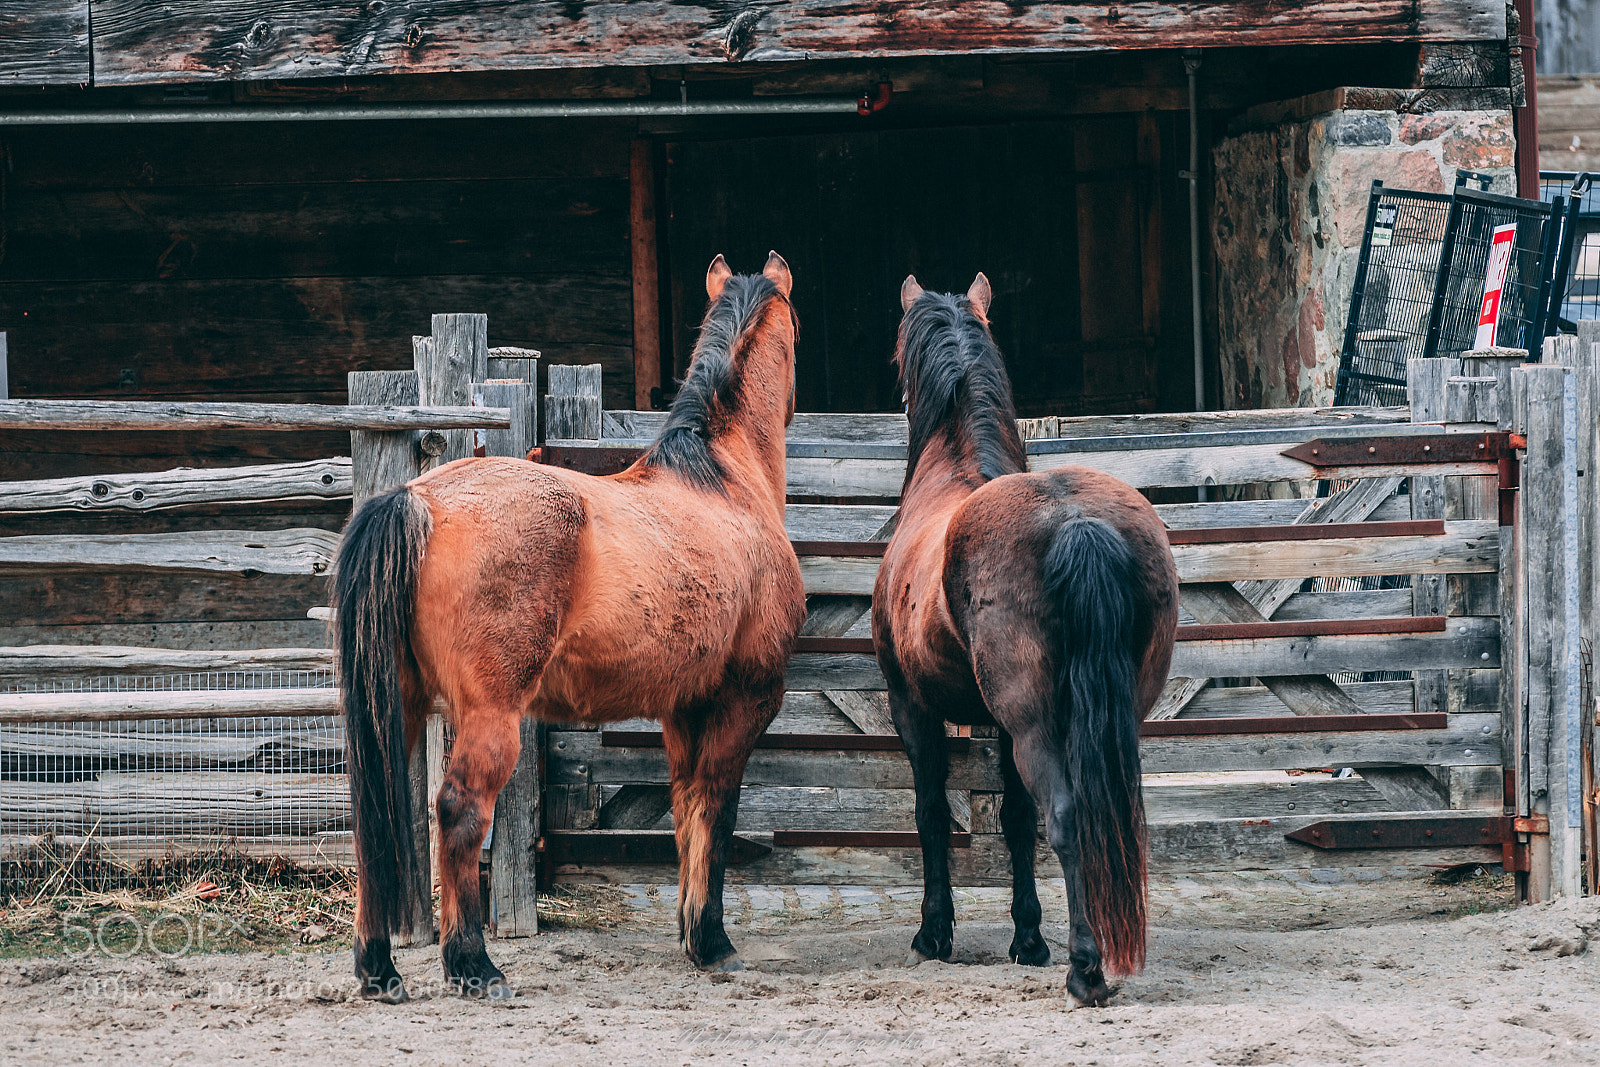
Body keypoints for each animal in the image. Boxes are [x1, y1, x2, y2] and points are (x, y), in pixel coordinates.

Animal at [333, 253, 806, 1002]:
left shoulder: (683, 708)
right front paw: (713, 941)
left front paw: (690, 935)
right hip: (490, 714)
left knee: (373, 820)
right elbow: (719, 808)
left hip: (398, 706)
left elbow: (686, 809)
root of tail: (420, 498)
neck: (723, 482)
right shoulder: (745, 699)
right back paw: (473, 965)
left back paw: (379, 968)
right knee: (458, 811)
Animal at [872, 273, 1178, 1006]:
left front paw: (934, 934)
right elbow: (1012, 821)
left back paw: (1087, 969)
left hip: (1033, 721)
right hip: (1111, 713)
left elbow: (931, 813)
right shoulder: (1000, 725)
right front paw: (1028, 937)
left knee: (1066, 815)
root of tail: (1072, 518)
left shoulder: (911, 706)